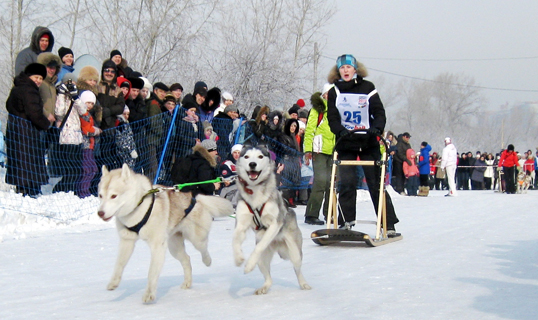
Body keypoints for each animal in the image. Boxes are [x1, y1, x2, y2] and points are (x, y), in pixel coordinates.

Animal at [97, 165, 231, 302]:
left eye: (114, 196)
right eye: (100, 195)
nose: (100, 213)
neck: (139, 207)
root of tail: (196, 200)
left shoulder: (157, 246)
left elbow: (152, 272)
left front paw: (149, 294)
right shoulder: (127, 241)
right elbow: (119, 264)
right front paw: (114, 282)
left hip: (196, 239)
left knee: (203, 249)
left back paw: (207, 261)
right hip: (174, 248)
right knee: (186, 259)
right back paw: (187, 282)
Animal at [230, 144, 310, 294]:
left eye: (260, 156)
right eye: (246, 156)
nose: (252, 164)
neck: (254, 193)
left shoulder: (274, 224)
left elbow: (260, 246)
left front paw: (249, 265)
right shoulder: (241, 223)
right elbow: (235, 241)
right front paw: (238, 258)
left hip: (294, 252)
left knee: (297, 269)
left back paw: (304, 284)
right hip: (263, 261)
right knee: (269, 278)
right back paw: (264, 287)